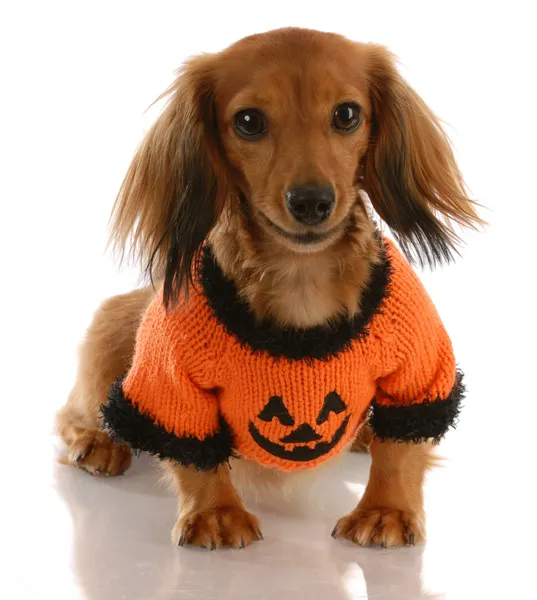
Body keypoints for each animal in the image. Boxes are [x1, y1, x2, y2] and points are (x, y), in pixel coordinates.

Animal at [55, 30, 482, 552]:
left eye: (347, 114)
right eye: (249, 122)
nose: (312, 202)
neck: (302, 278)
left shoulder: (419, 370)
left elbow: (400, 449)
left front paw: (385, 510)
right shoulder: (170, 379)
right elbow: (194, 456)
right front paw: (216, 513)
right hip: (112, 330)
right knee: (76, 410)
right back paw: (98, 441)